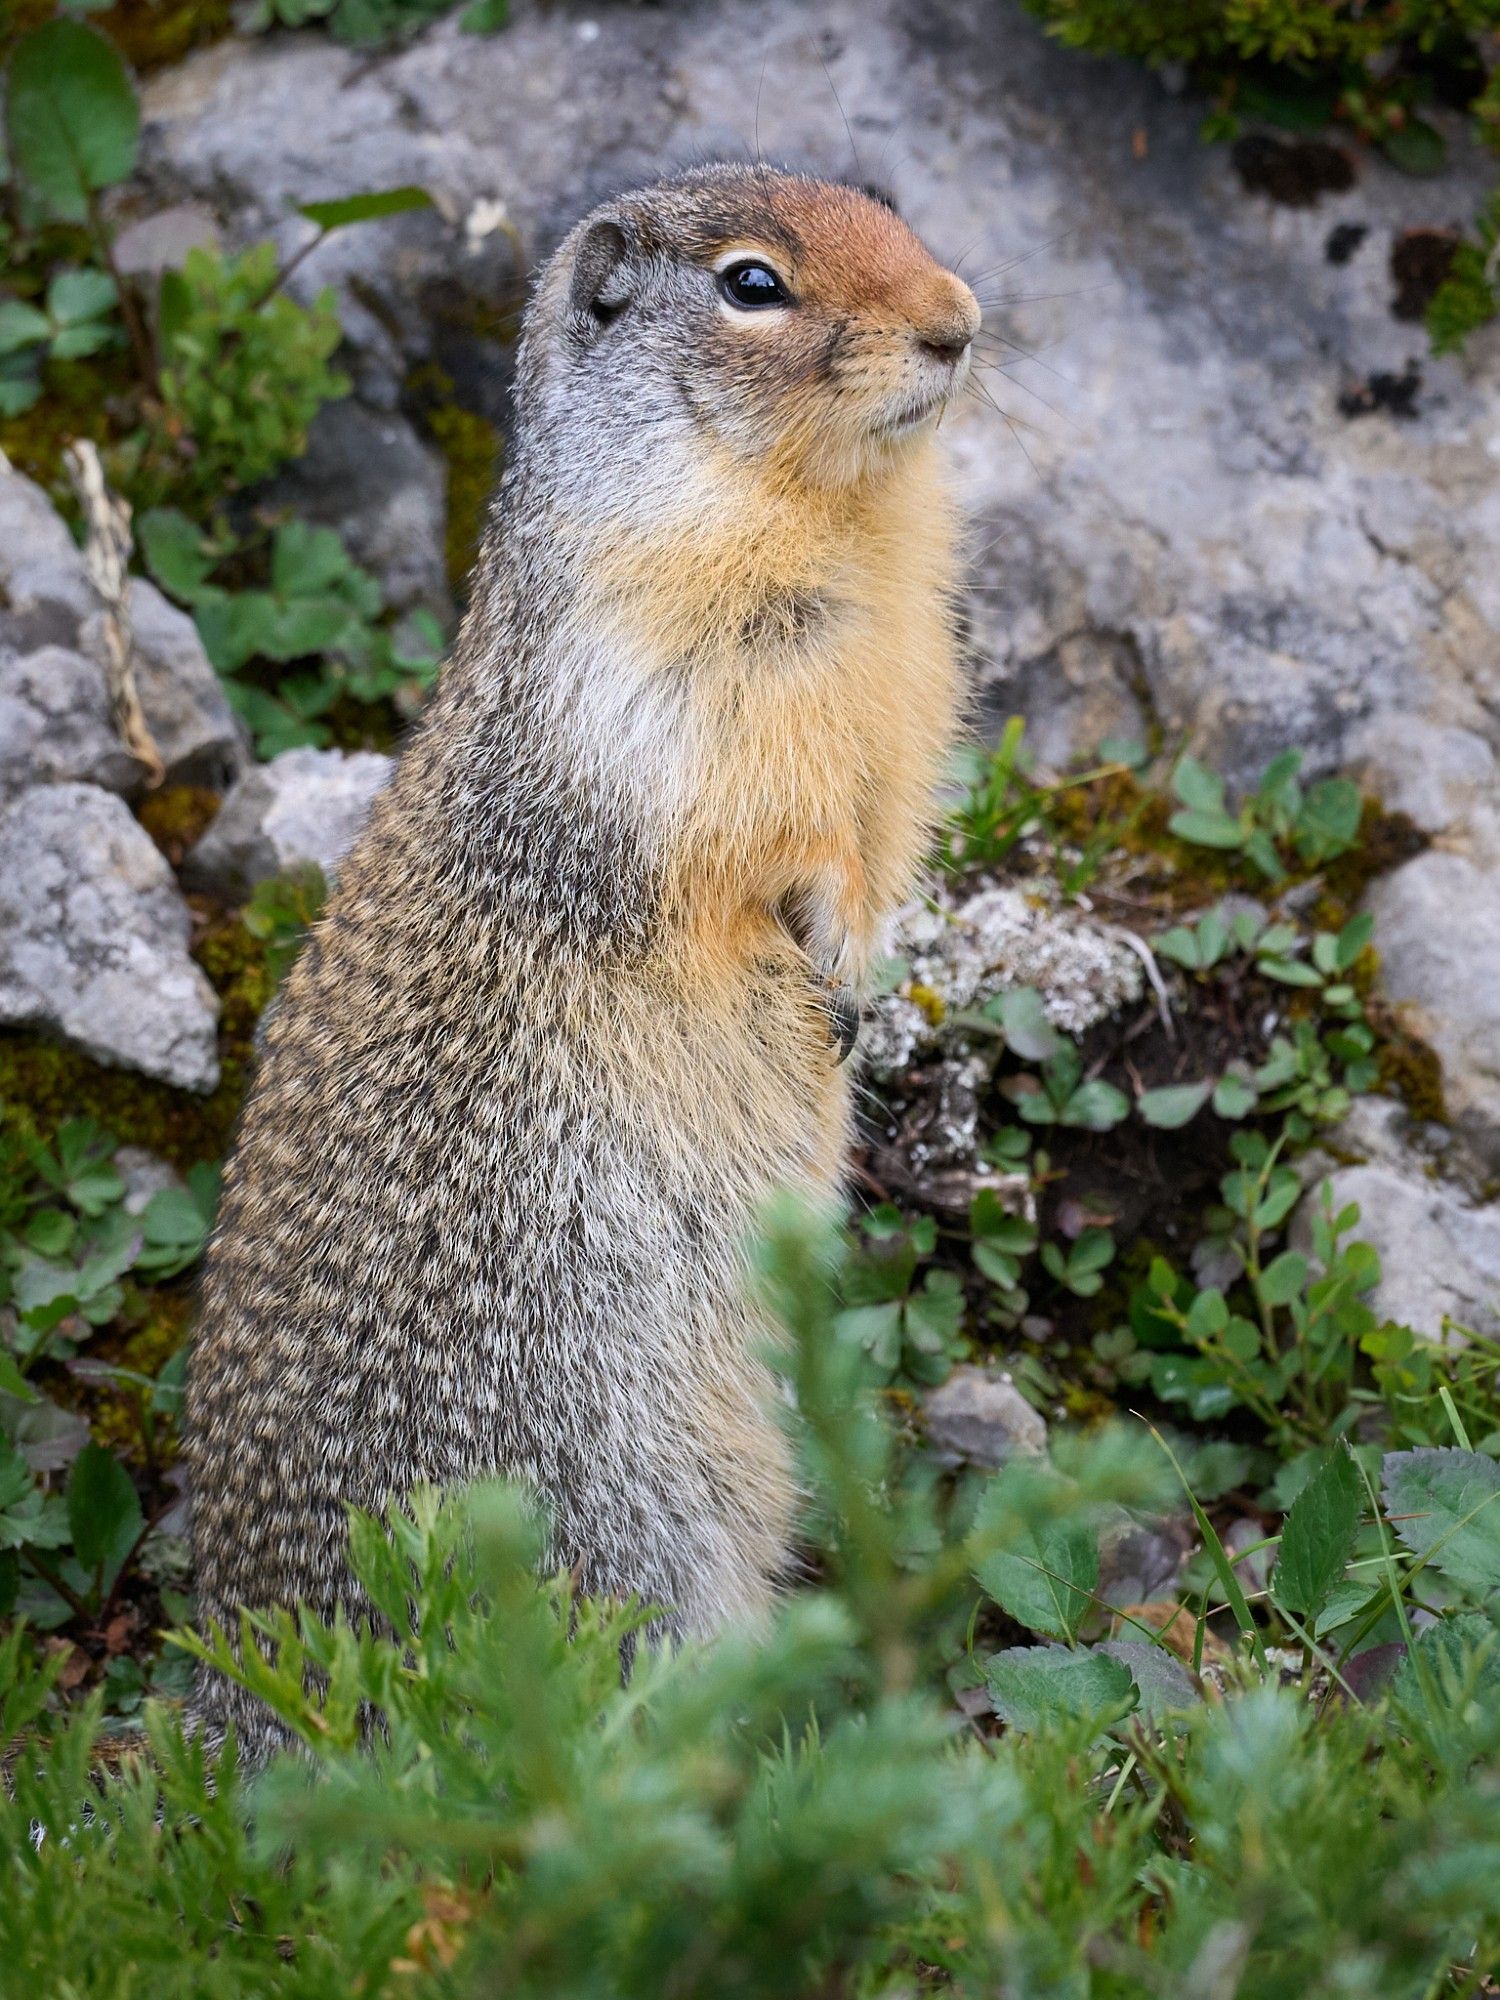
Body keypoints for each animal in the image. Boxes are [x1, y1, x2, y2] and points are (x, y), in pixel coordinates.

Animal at [188, 160, 980, 1752]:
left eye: (884, 200)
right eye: (752, 283)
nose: (961, 323)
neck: (843, 519)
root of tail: (252, 1691)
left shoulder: (904, 699)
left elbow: (886, 830)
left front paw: (859, 967)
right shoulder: (661, 681)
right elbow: (746, 836)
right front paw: (812, 950)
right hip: (625, 1514)